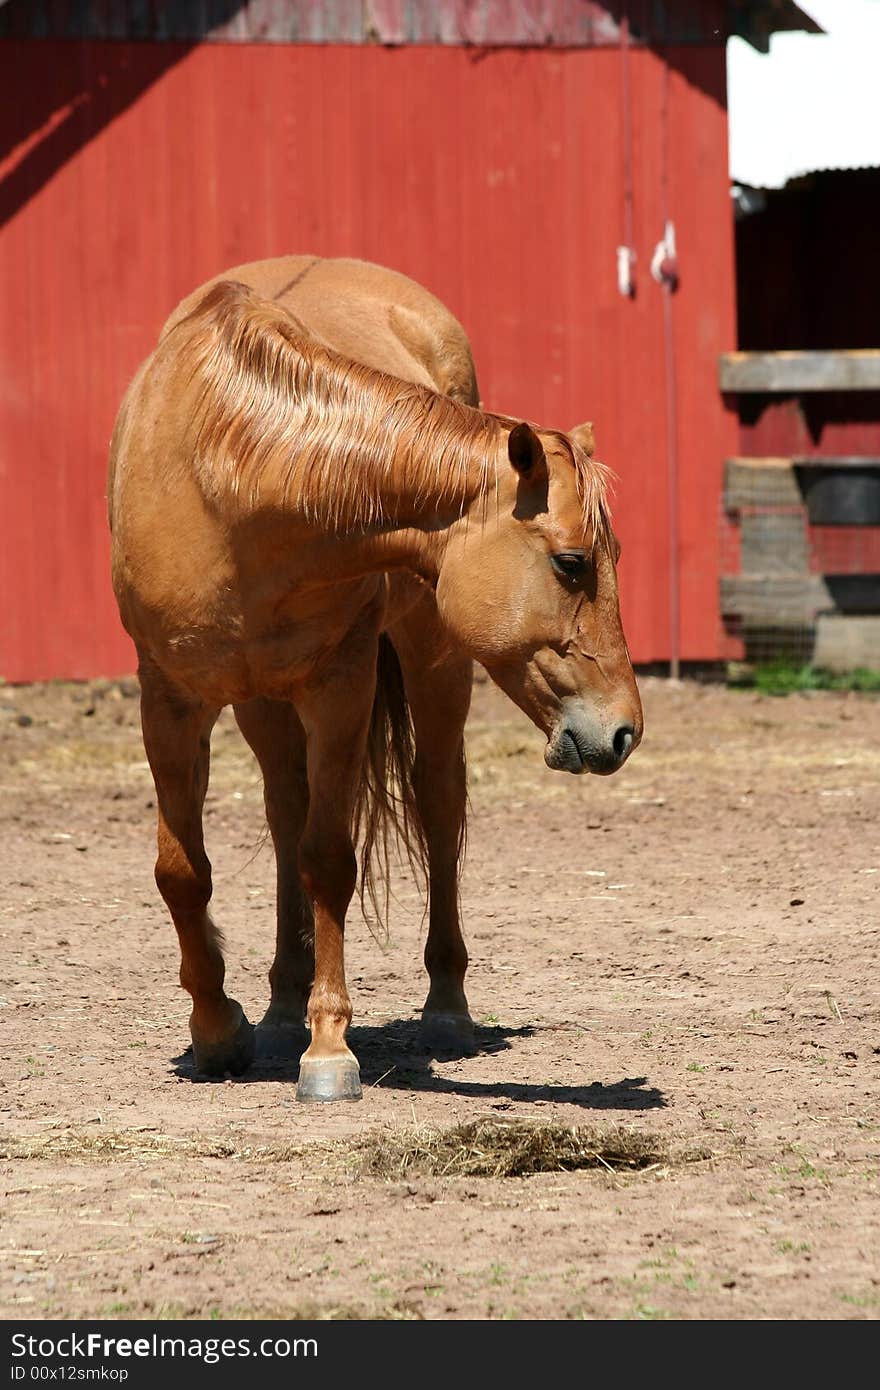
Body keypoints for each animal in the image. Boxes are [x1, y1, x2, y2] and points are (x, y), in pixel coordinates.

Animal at [111, 255, 639, 1100]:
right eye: (571, 562)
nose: (623, 729)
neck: (229, 478)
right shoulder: (169, 697)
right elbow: (183, 871)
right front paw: (218, 1033)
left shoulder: (341, 687)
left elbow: (331, 857)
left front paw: (328, 1050)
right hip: (264, 703)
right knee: (285, 816)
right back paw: (281, 1005)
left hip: (435, 663)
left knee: (437, 807)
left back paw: (446, 1008)